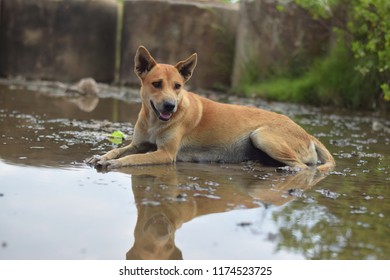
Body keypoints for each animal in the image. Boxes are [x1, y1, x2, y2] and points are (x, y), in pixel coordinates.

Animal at [86, 45, 336, 173]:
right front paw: (102, 156)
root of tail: (307, 133)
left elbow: (133, 158)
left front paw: (115, 163)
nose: (170, 105)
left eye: (177, 86)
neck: (154, 121)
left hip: (263, 135)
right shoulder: (138, 143)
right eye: (157, 84)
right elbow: (119, 150)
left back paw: (289, 169)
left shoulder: (165, 154)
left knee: (304, 167)